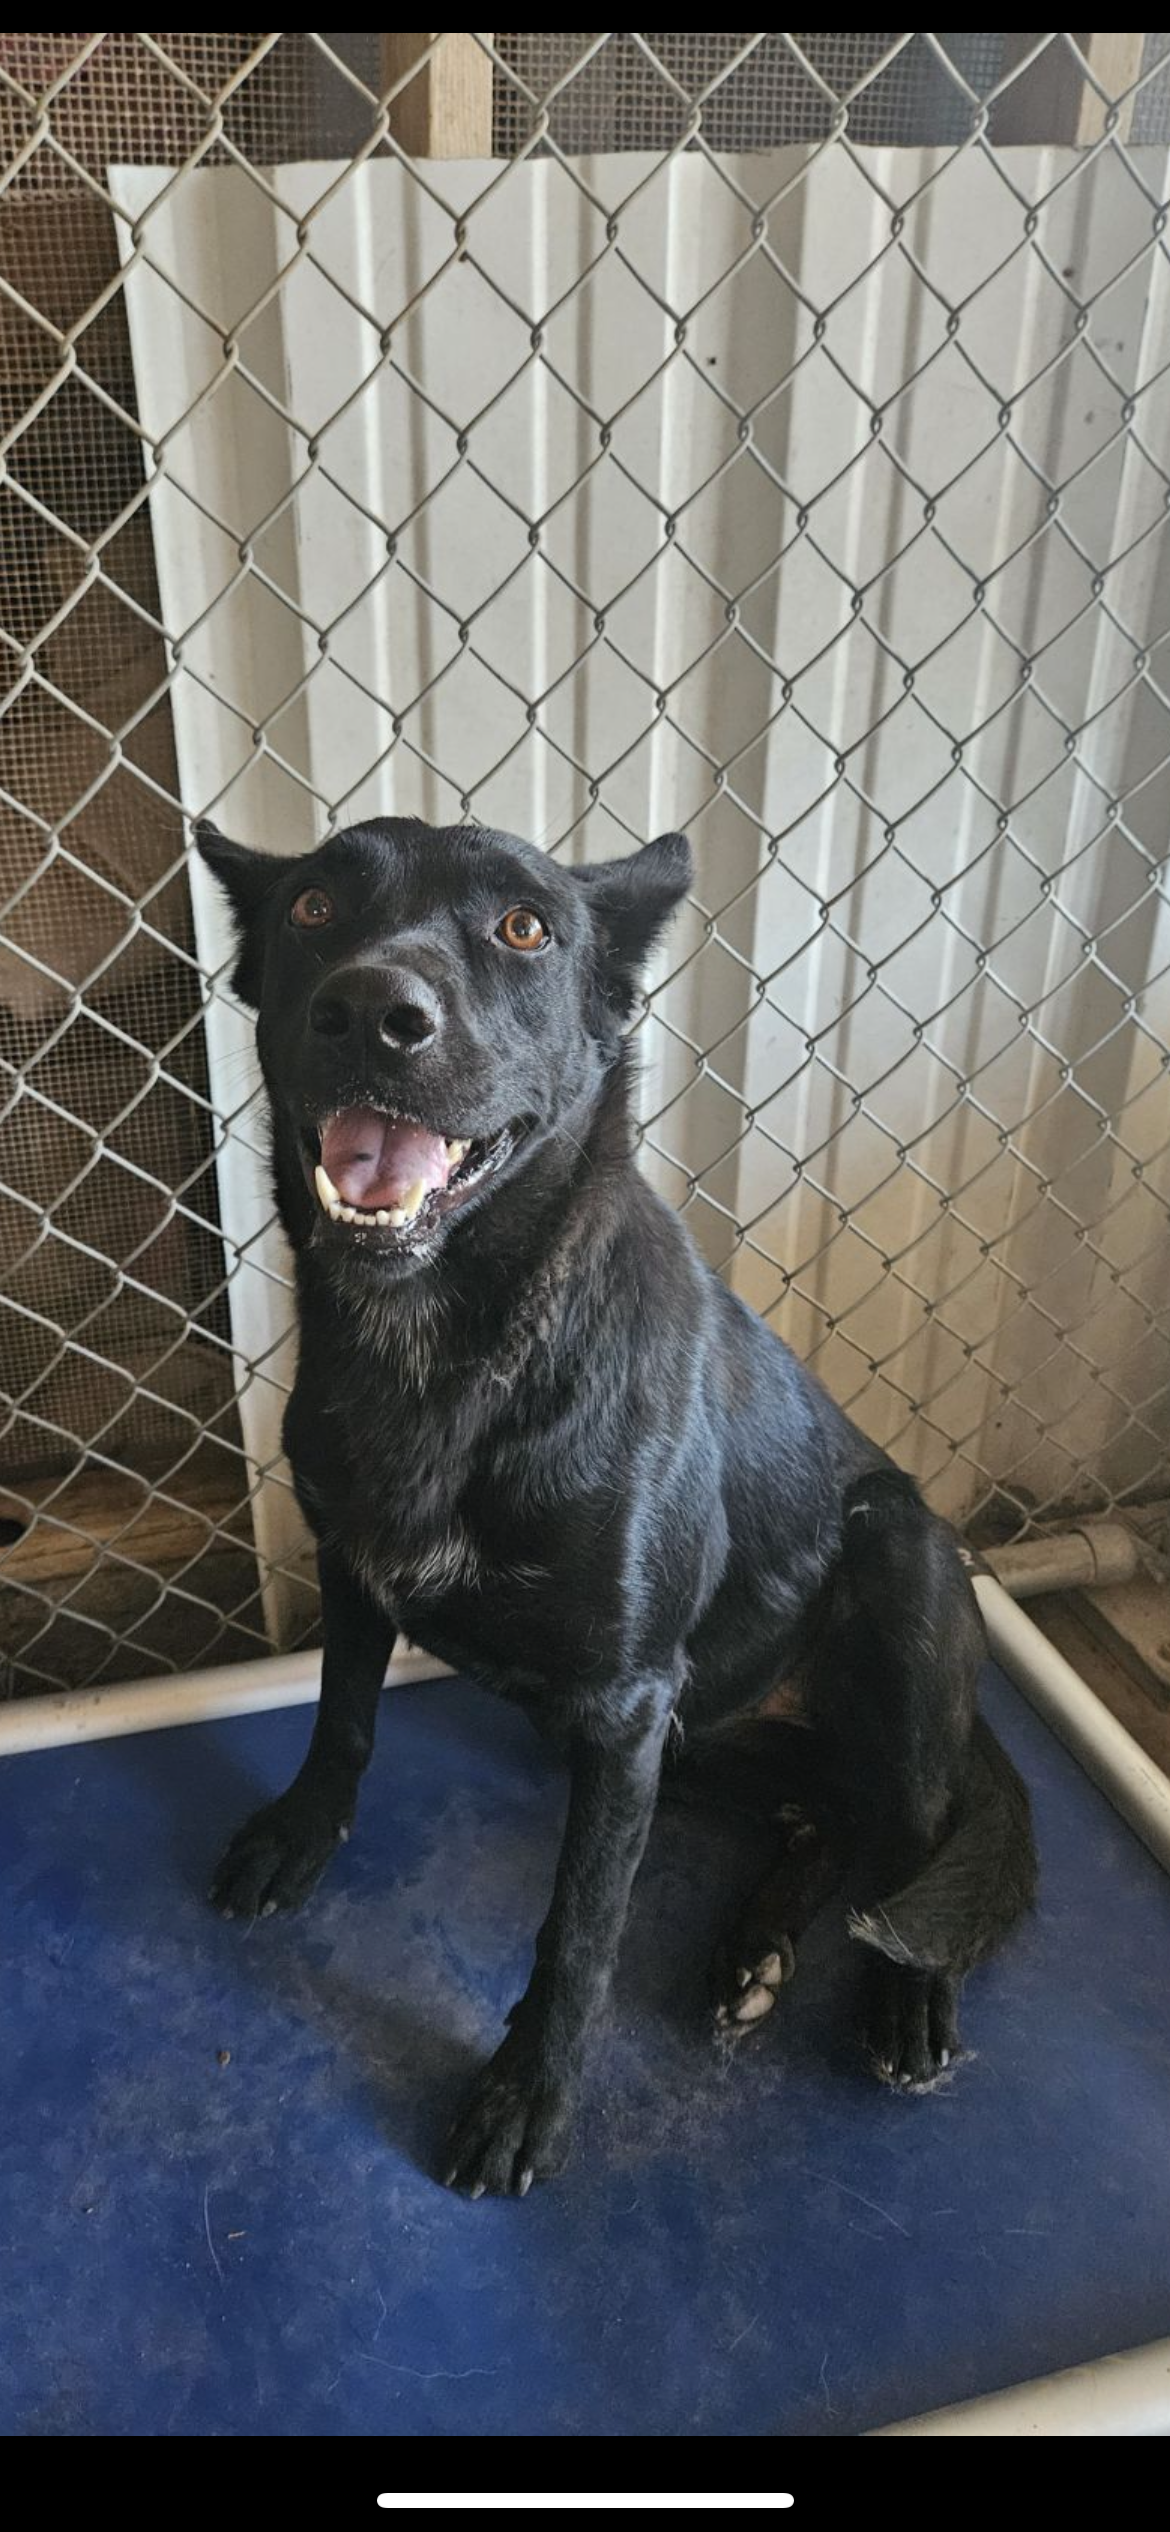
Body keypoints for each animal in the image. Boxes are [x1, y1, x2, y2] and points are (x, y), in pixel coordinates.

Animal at [198, 815, 1033, 2197]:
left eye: (526, 927)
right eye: (314, 906)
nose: (373, 1010)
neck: (443, 1349)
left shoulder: (624, 1704)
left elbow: (582, 1923)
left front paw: (527, 2091)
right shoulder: (358, 1570)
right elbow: (342, 1719)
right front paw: (300, 1832)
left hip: (894, 1564)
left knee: (908, 1826)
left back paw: (905, 1995)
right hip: (682, 1739)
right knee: (827, 1810)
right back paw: (757, 1949)